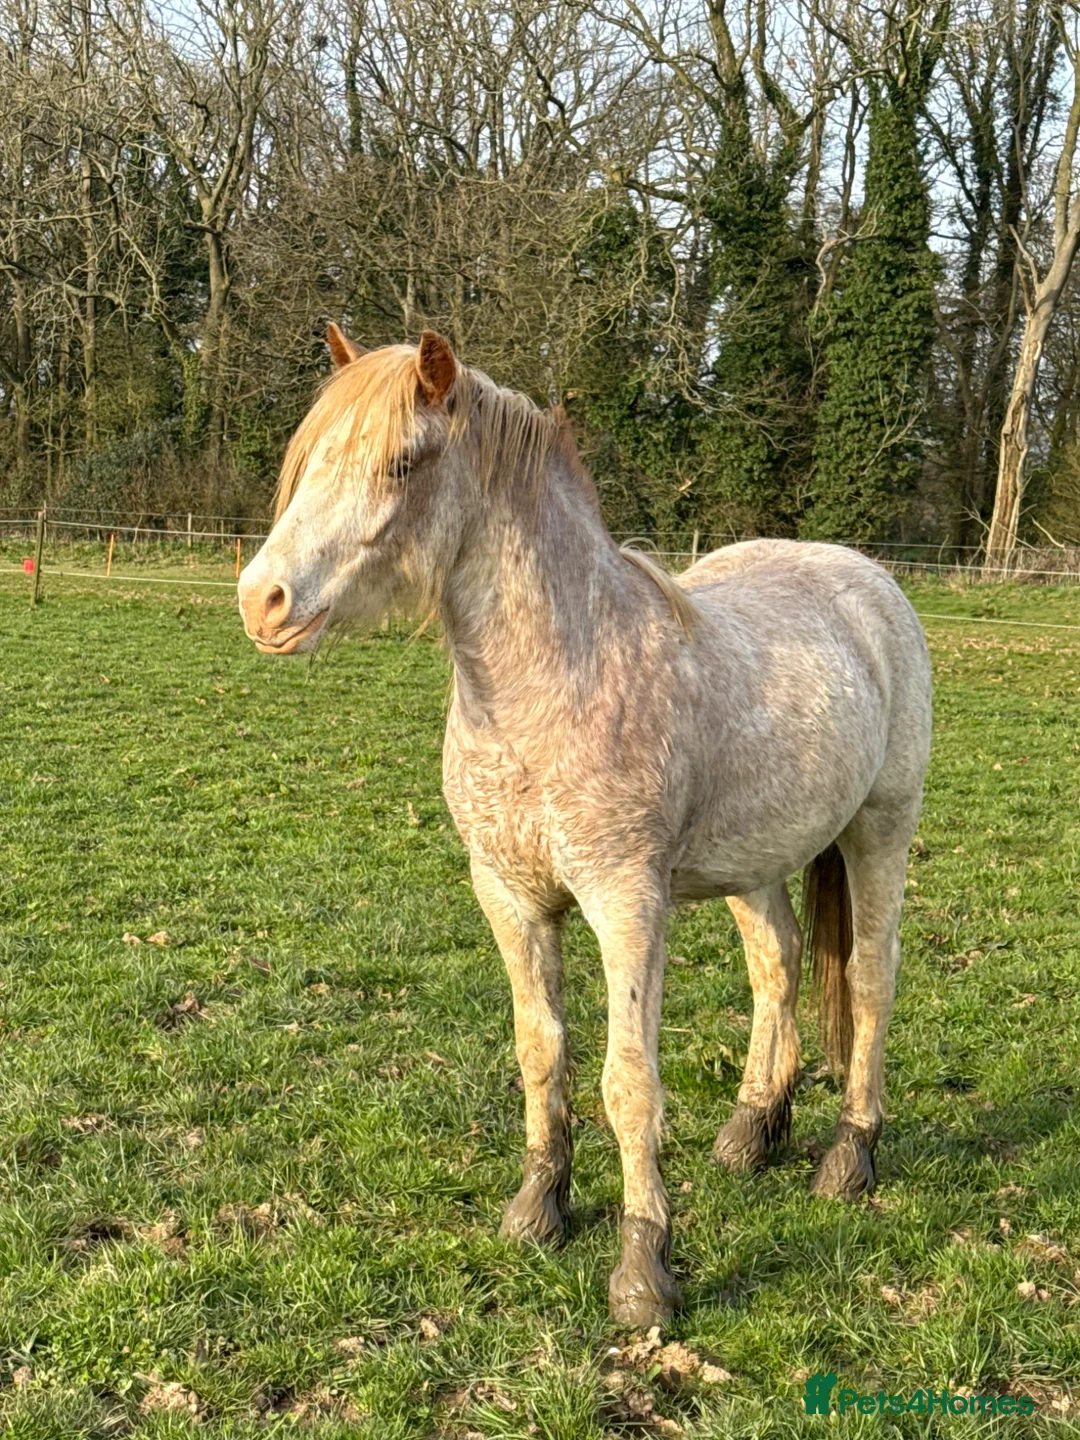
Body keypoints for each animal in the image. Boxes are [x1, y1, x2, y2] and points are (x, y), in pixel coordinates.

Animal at [238, 326, 932, 1329]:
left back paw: (849, 1156)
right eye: (310, 458)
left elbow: (627, 1082)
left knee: (871, 979)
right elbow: (543, 1054)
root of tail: (866, 576)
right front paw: (539, 1209)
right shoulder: (510, 898)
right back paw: (752, 1131)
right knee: (781, 965)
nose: (262, 600)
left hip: (880, 830)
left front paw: (644, 1270)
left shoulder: (626, 903)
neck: (551, 682)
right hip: (756, 862)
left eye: (402, 462)